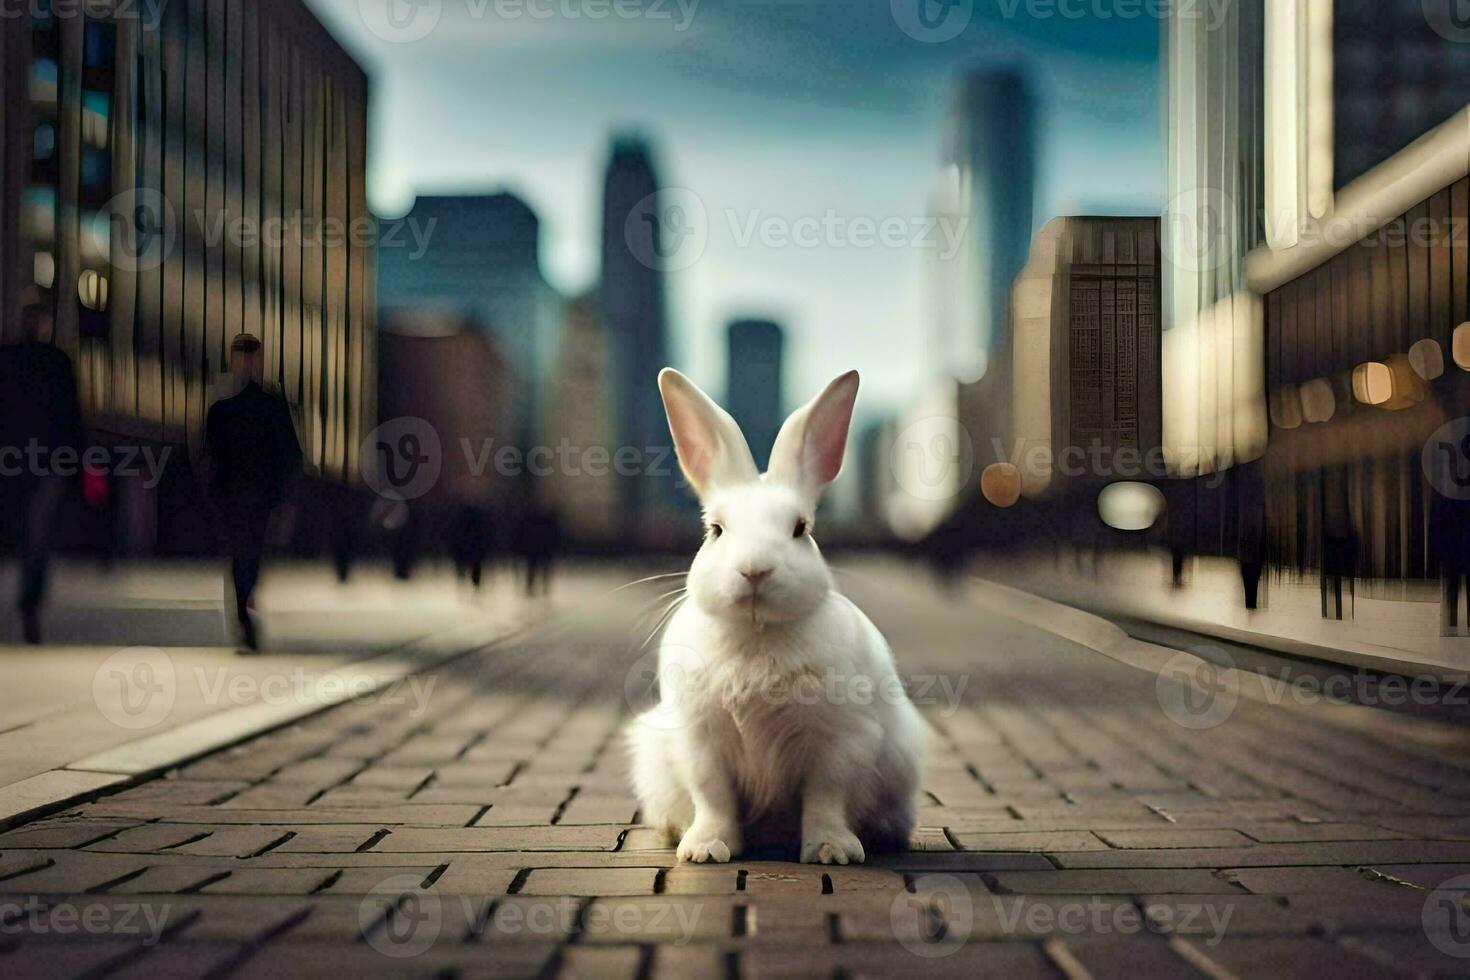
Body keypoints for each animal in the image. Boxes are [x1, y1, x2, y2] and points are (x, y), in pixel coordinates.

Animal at [626, 367, 923, 863]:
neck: (758, 631)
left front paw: (832, 851)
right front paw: (706, 850)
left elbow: (826, 797)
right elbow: (713, 797)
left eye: (800, 529)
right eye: (715, 530)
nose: (755, 570)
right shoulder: (699, 743)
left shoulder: (839, 742)